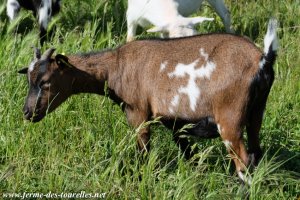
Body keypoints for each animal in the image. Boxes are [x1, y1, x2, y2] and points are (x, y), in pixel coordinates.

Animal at [18, 19, 278, 184]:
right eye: (29, 79)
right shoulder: (174, 122)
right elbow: (189, 153)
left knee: (243, 160)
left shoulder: (138, 114)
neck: (116, 67)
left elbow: (143, 152)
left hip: (230, 117)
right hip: (257, 111)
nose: (28, 112)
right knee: (256, 153)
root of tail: (263, 59)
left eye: (45, 83)